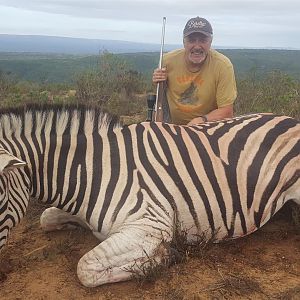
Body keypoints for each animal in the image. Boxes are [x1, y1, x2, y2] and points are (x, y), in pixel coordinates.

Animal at [0, 105, 298, 286]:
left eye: (0, 195)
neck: (92, 171)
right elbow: (47, 218)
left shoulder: (150, 225)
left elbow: (85, 268)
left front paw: (165, 256)